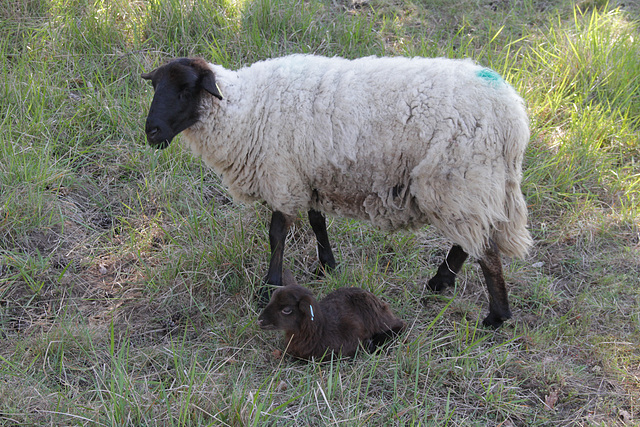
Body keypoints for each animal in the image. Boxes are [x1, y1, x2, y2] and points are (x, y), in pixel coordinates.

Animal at [142, 53, 532, 328]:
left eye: (185, 90)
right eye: (155, 88)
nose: (152, 132)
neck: (245, 111)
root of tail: (512, 116)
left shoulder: (282, 175)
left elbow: (277, 233)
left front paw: (269, 286)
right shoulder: (308, 175)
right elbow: (317, 222)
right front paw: (327, 265)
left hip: (458, 178)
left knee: (486, 250)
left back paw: (495, 317)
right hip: (466, 184)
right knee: (470, 242)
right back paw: (440, 283)